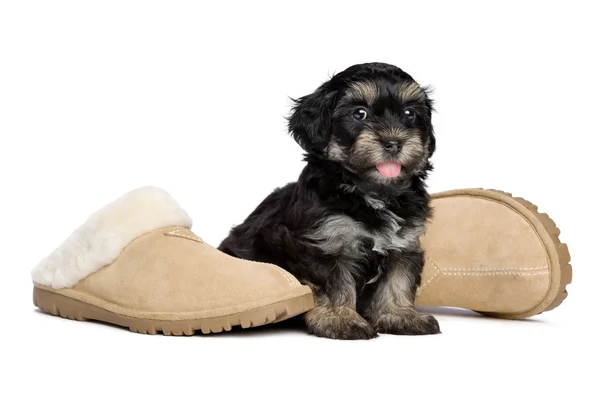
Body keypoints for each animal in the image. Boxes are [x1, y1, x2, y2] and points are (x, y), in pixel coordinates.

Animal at [220, 62, 440, 340]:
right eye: (359, 114)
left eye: (410, 114)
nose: (393, 143)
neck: (372, 192)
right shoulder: (326, 243)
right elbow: (335, 284)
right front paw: (340, 319)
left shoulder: (403, 244)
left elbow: (398, 281)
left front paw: (400, 315)